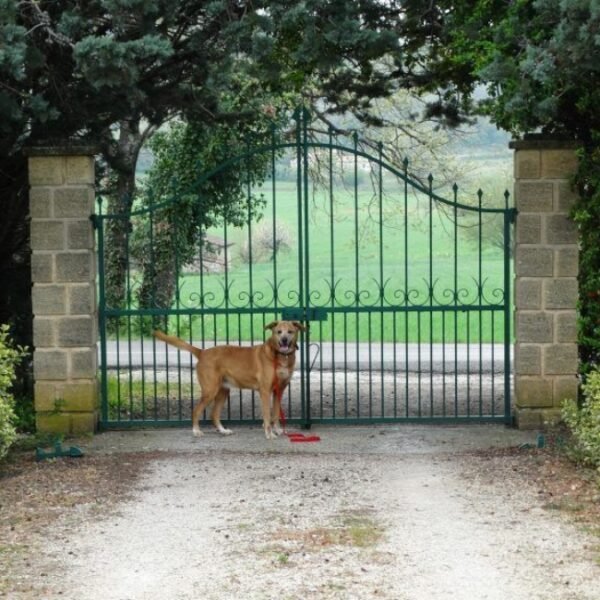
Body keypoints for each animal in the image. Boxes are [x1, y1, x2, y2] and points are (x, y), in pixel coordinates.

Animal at [155, 322, 304, 438]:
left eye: (290, 331)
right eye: (278, 332)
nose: (284, 340)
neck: (280, 356)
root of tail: (202, 352)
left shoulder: (279, 390)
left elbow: (276, 414)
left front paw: (277, 430)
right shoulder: (265, 391)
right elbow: (267, 415)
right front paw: (269, 434)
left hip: (223, 391)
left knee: (214, 414)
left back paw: (223, 431)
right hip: (210, 391)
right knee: (196, 411)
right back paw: (196, 431)